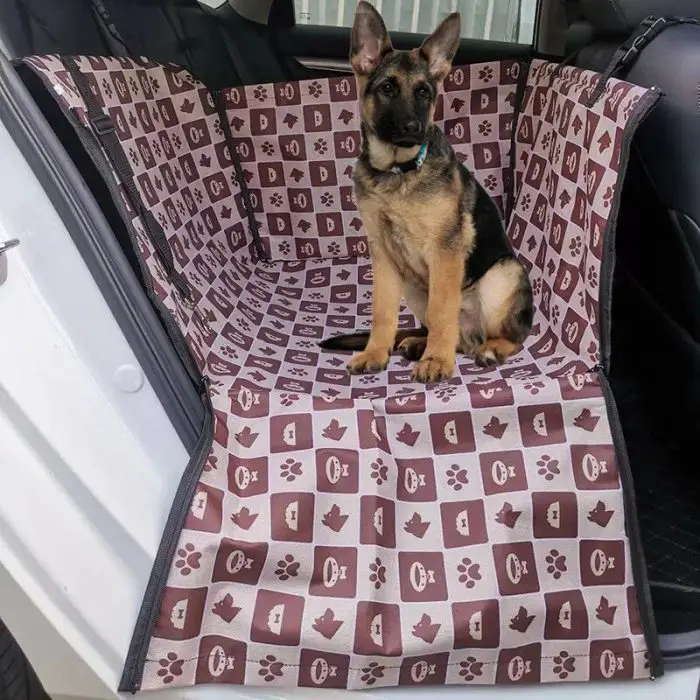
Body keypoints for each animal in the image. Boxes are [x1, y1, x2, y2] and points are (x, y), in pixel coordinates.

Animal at [318, 0, 532, 382]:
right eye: (387, 88)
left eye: (423, 92)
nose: (412, 128)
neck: (398, 173)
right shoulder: (384, 255)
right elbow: (383, 312)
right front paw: (376, 352)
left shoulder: (445, 251)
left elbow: (443, 309)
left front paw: (437, 361)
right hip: (413, 285)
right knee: (447, 332)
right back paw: (417, 343)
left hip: (501, 277)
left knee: (510, 335)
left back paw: (488, 348)